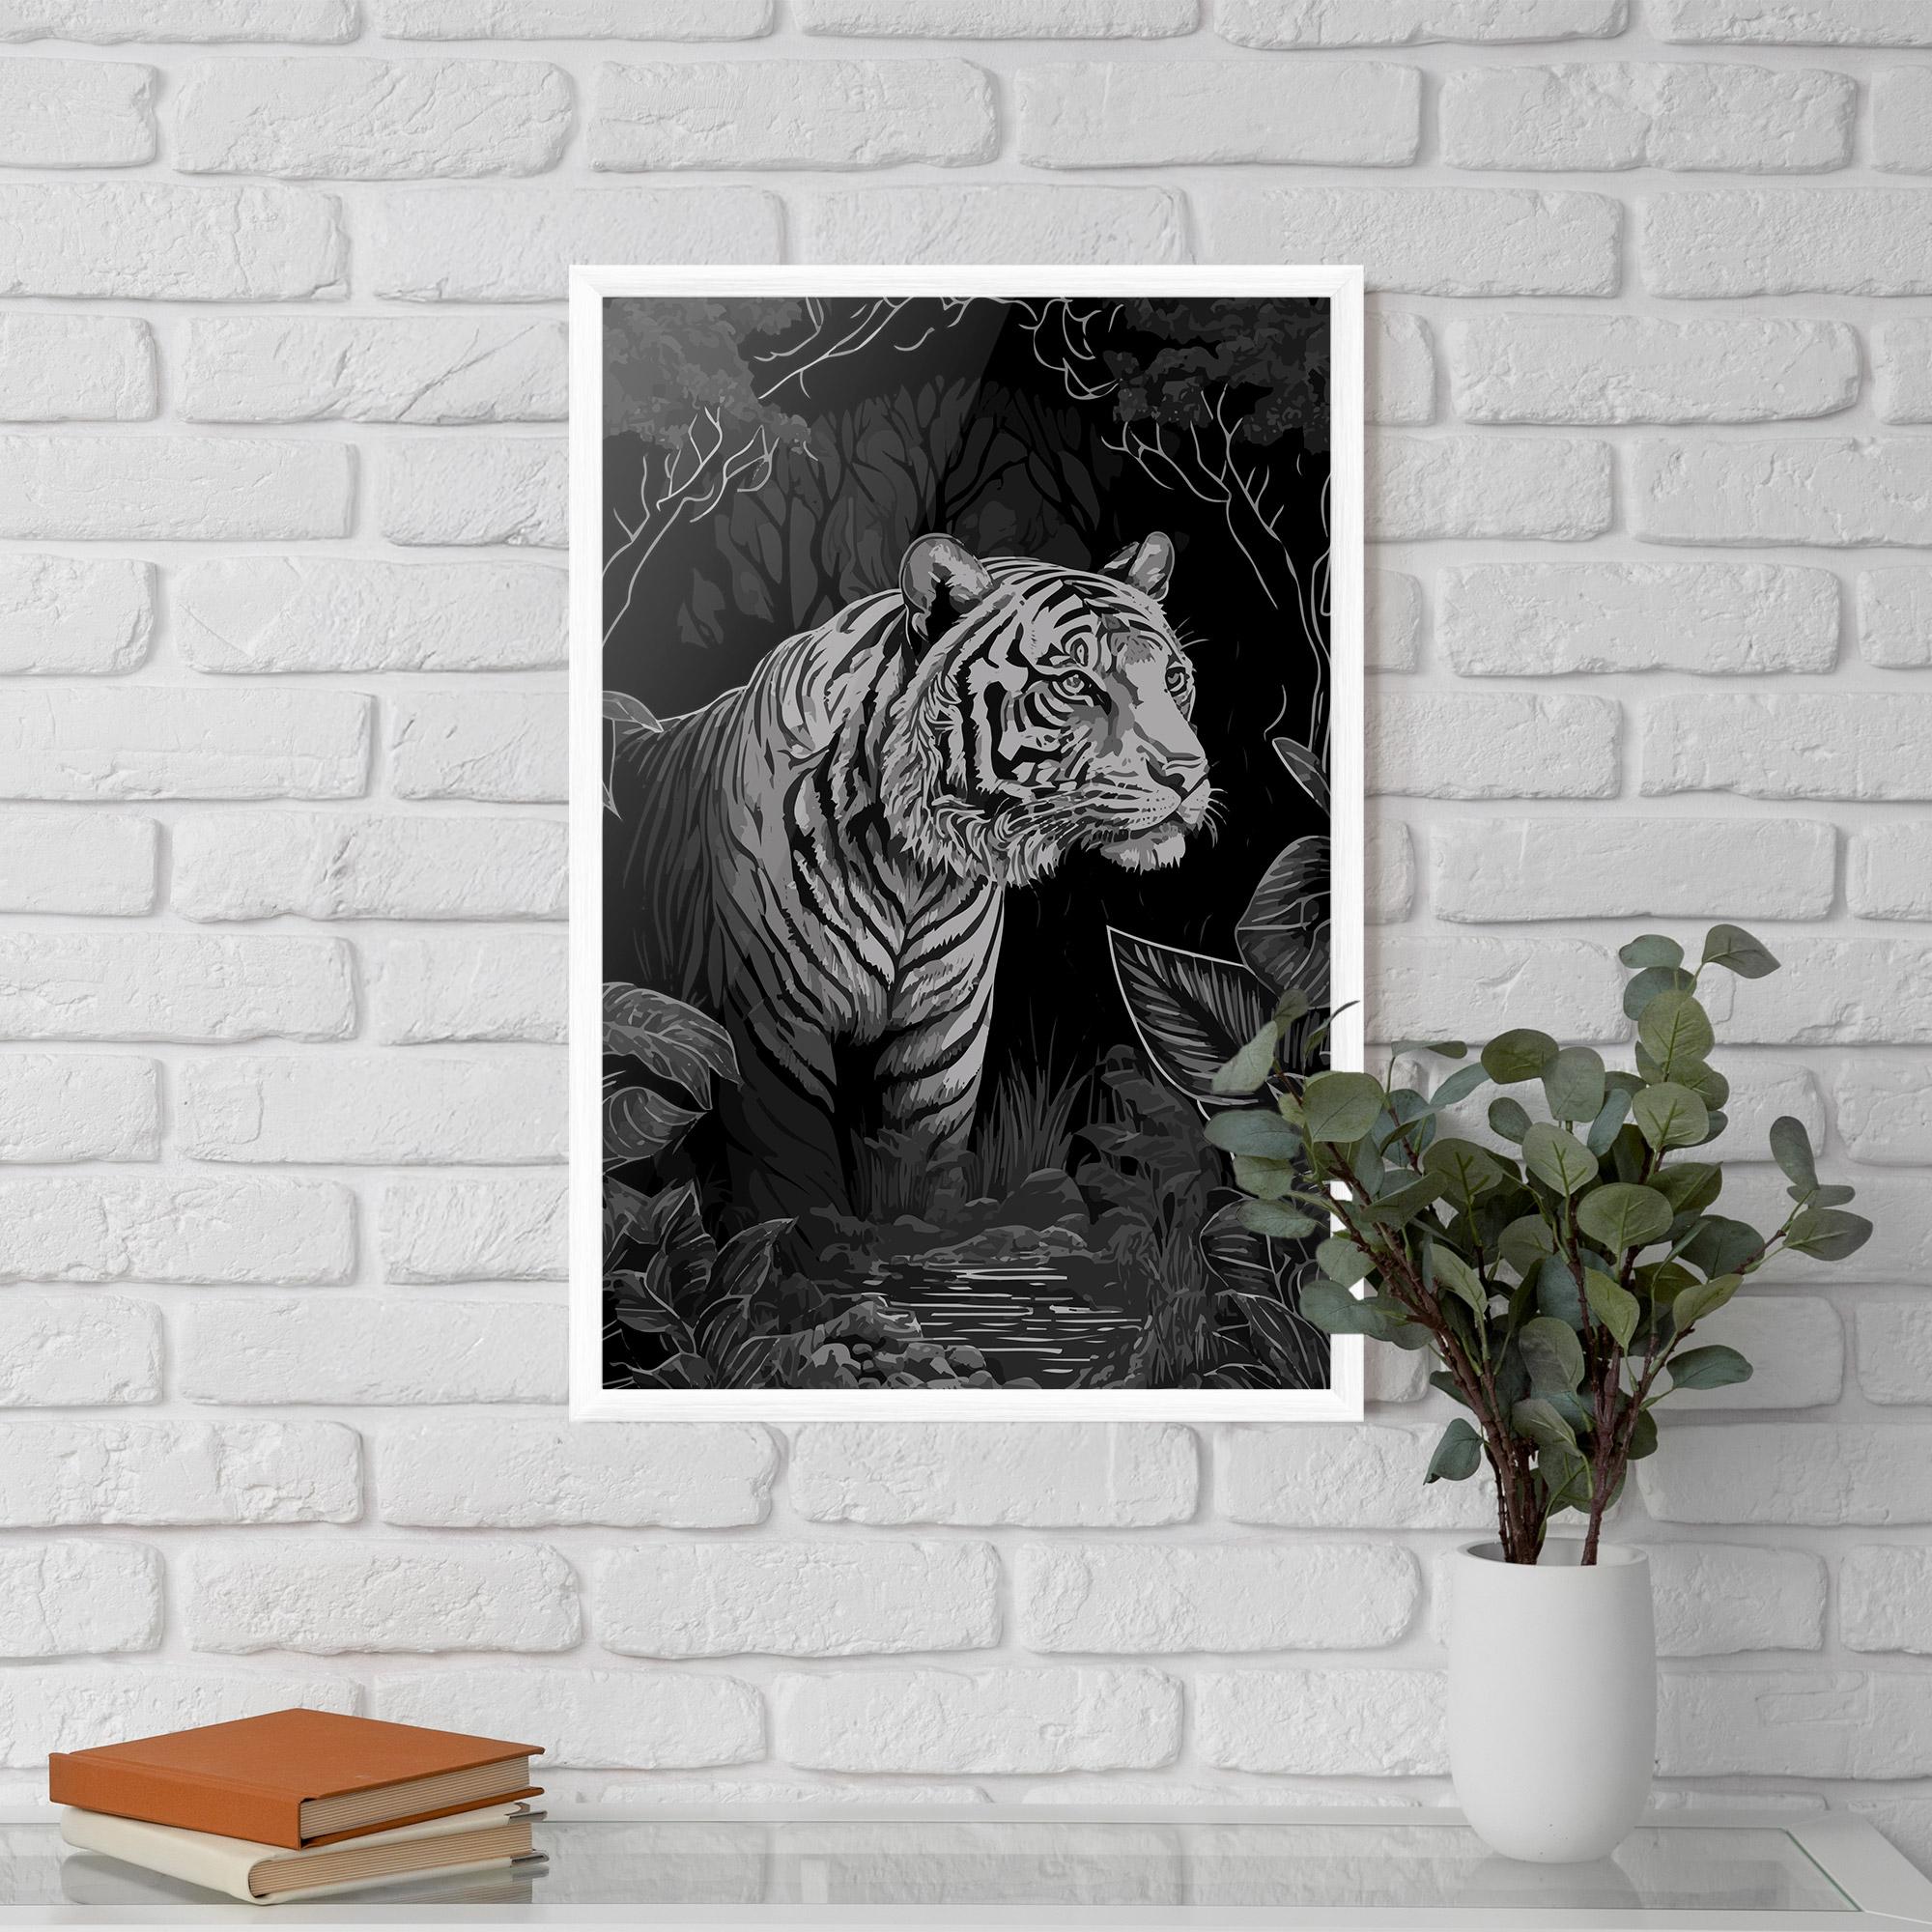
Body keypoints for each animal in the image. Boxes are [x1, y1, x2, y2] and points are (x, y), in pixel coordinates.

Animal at [611, 531, 1212, 1220]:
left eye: (1173, 679)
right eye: (1075, 682)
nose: (1189, 775)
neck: (915, 868)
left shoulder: (943, 1037)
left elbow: (924, 1176)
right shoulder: (771, 1031)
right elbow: (794, 1188)